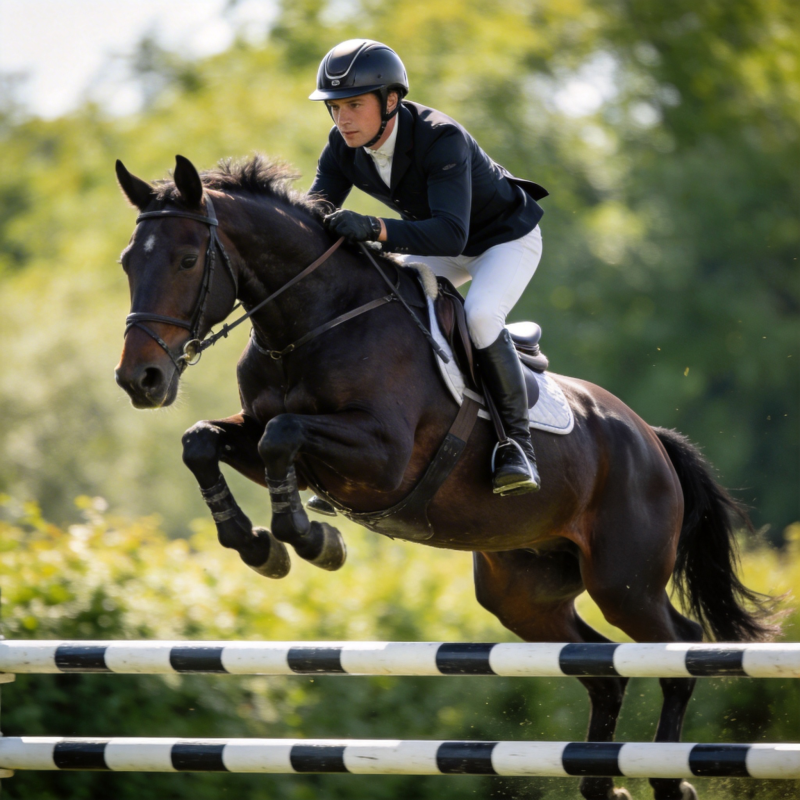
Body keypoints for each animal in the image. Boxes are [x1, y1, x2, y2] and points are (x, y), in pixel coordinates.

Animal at [114, 154, 776, 800]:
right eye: (127, 262)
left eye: (188, 259)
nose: (139, 380)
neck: (313, 322)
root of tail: (651, 440)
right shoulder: (259, 436)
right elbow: (202, 442)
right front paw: (258, 546)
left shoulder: (381, 456)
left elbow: (284, 434)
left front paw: (312, 541)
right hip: (523, 592)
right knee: (601, 668)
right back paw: (598, 780)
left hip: (625, 581)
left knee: (675, 650)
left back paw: (667, 778)